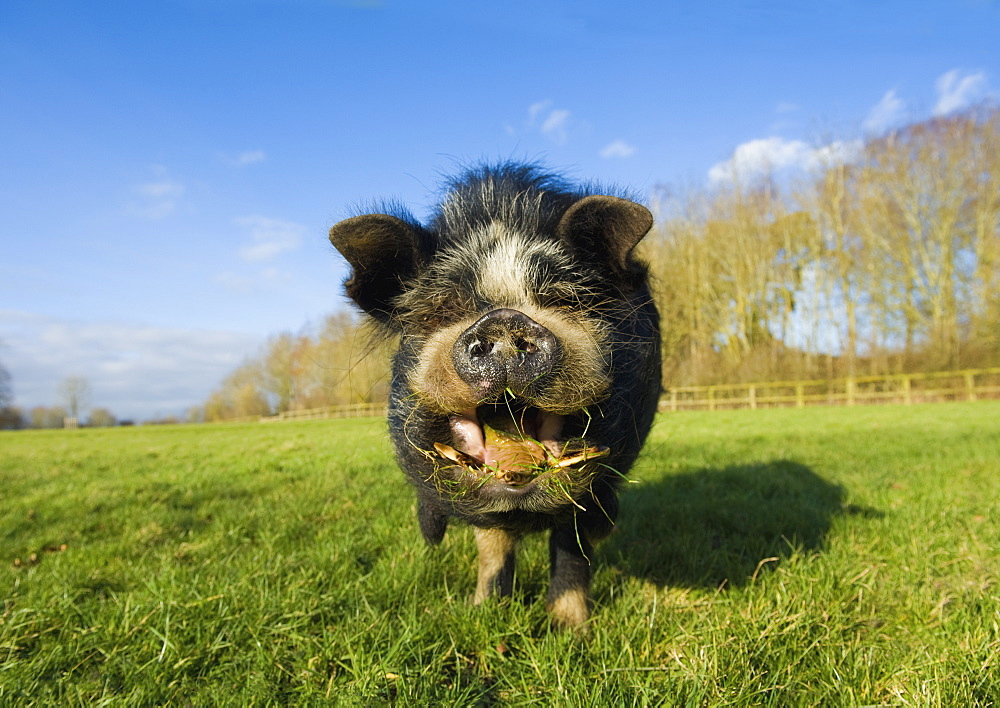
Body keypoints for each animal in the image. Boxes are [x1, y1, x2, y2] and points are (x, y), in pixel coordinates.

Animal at [330, 163, 664, 628]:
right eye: (443, 311)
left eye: (563, 301)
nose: (504, 321)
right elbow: (491, 542)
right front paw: (485, 612)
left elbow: (572, 542)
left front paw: (569, 628)